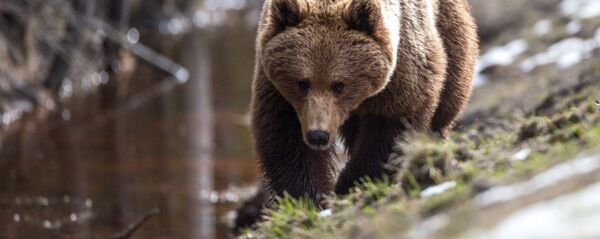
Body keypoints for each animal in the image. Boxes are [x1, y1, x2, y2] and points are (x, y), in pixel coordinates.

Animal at [251, 0, 480, 204]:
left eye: (339, 84)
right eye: (302, 82)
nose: (318, 135)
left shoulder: (404, 61)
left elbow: (393, 123)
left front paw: (352, 180)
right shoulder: (278, 90)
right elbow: (285, 136)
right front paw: (309, 195)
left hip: (450, 30)